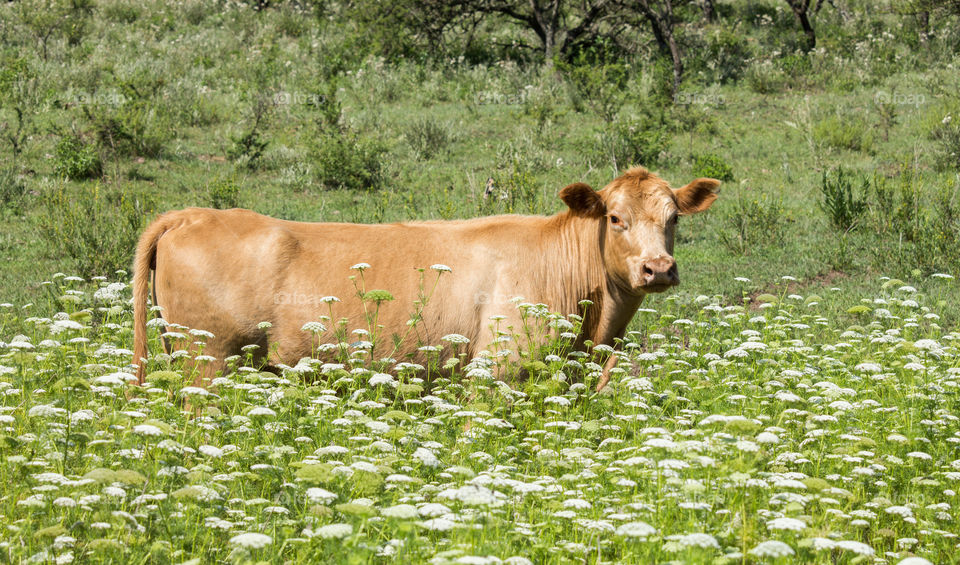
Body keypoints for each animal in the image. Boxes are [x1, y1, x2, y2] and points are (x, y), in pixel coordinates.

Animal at [129, 165, 720, 390]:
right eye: (615, 218)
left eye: (673, 219)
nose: (657, 268)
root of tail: (191, 213)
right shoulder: (497, 373)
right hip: (208, 360)